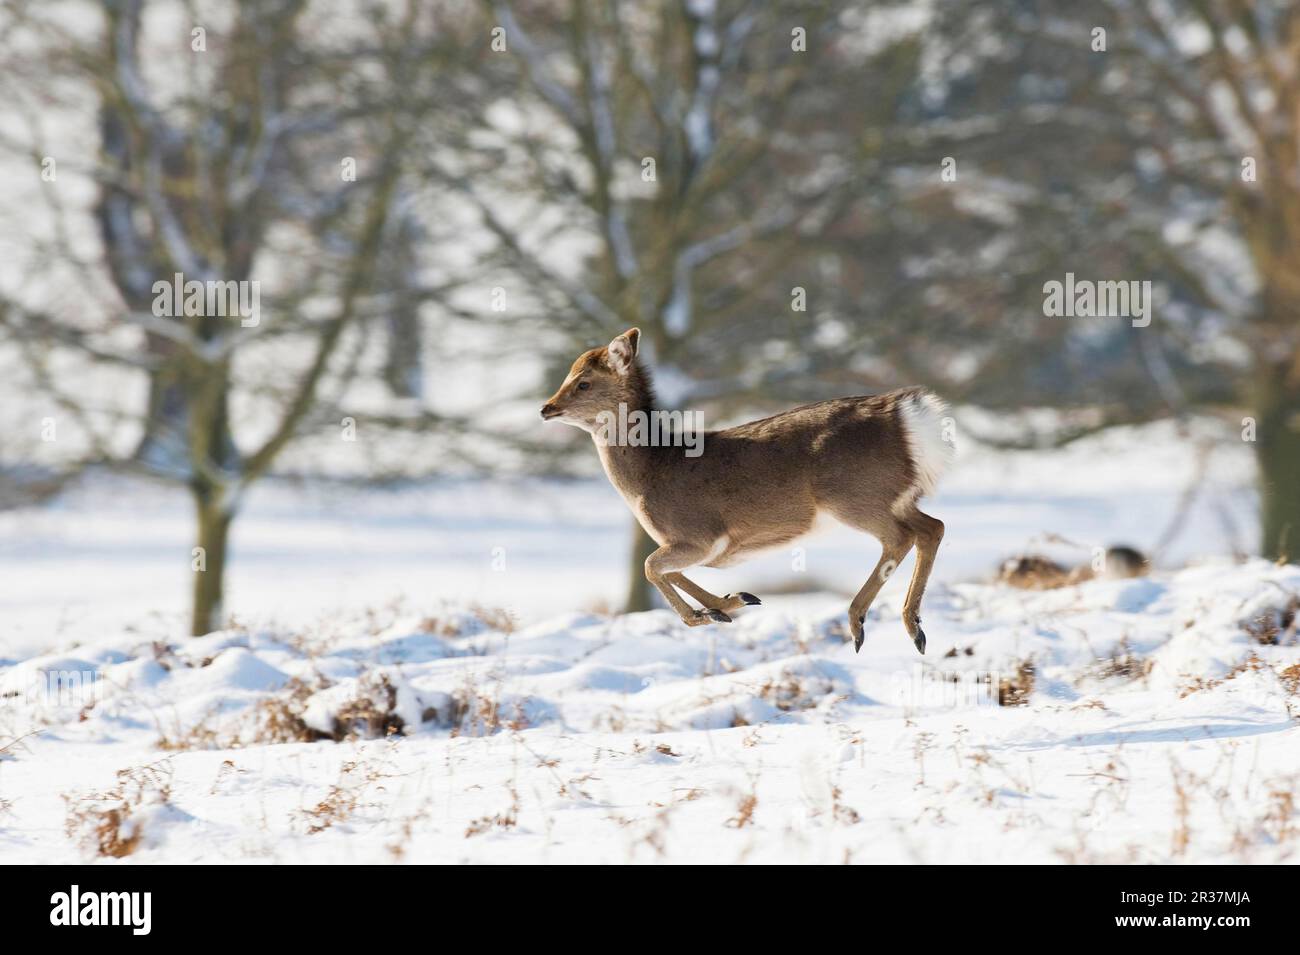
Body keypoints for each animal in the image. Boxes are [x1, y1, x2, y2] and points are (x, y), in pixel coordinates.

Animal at [538, 330, 956, 657]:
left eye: (583, 382)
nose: (546, 408)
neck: (650, 473)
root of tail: (910, 419)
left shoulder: (698, 534)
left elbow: (651, 566)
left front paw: (704, 615)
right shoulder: (696, 545)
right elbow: (669, 570)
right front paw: (730, 603)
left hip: (854, 495)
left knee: (901, 537)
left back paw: (867, 625)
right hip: (895, 497)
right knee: (932, 527)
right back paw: (909, 627)